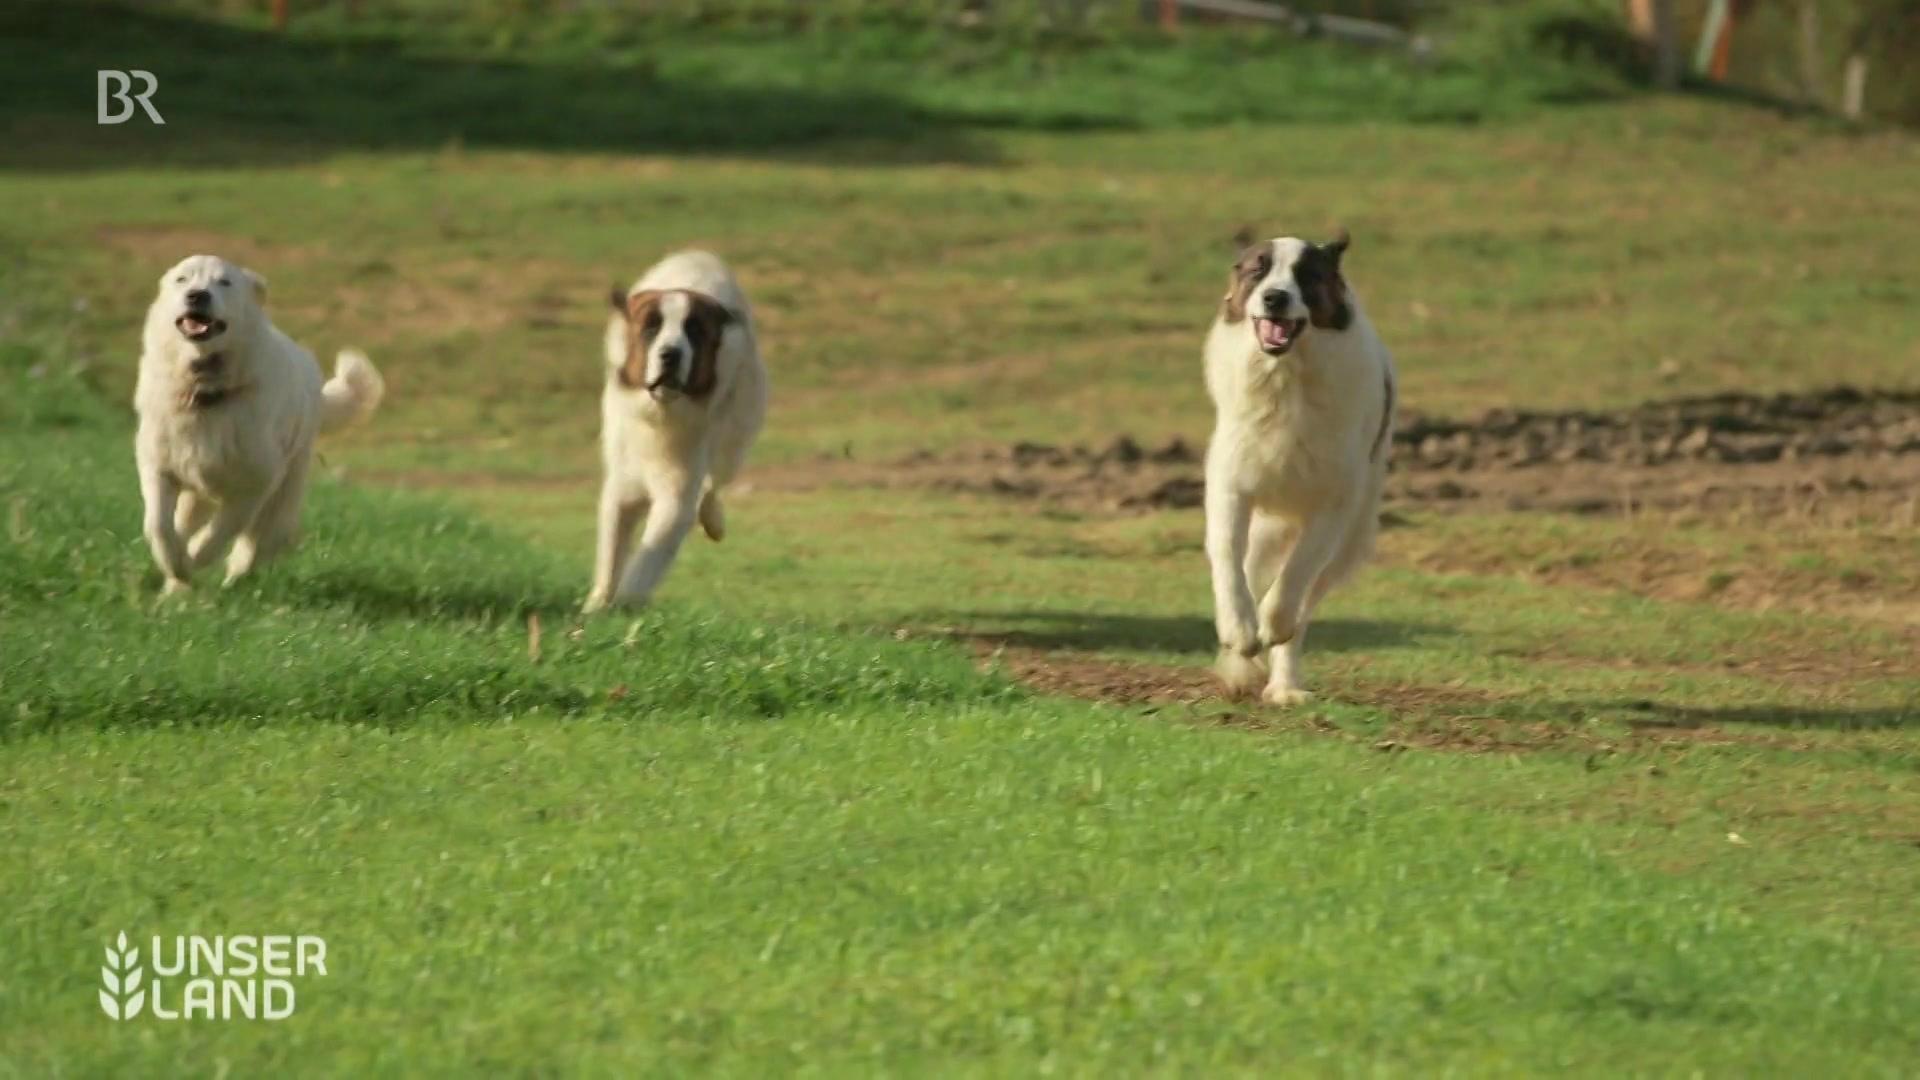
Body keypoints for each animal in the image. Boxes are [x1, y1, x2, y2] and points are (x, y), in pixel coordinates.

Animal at [133, 255, 384, 591]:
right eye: (182, 279)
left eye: (224, 282)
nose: (197, 295)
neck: (207, 391)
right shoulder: (160, 467)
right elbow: (159, 525)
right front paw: (176, 567)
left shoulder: (254, 485)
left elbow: (219, 533)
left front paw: (193, 558)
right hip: (199, 492)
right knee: (186, 524)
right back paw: (176, 589)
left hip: (282, 497)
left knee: (252, 550)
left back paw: (231, 584)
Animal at [583, 247, 764, 611]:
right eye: (651, 327)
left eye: (694, 331)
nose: (671, 354)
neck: (660, 415)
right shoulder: (622, 485)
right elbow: (611, 549)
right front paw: (596, 606)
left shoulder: (677, 490)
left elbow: (652, 551)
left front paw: (627, 600)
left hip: (736, 433)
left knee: (715, 482)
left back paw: (714, 520)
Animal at [1198, 230, 1397, 703]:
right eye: (1258, 269)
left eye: (1307, 276)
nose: (1275, 297)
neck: (1285, 377)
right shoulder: (1231, 485)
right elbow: (1228, 559)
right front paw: (1239, 631)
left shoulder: (1333, 504)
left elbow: (1296, 574)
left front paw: (1272, 624)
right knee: (1252, 569)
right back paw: (1241, 664)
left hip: (1351, 541)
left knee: (1305, 604)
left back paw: (1285, 685)